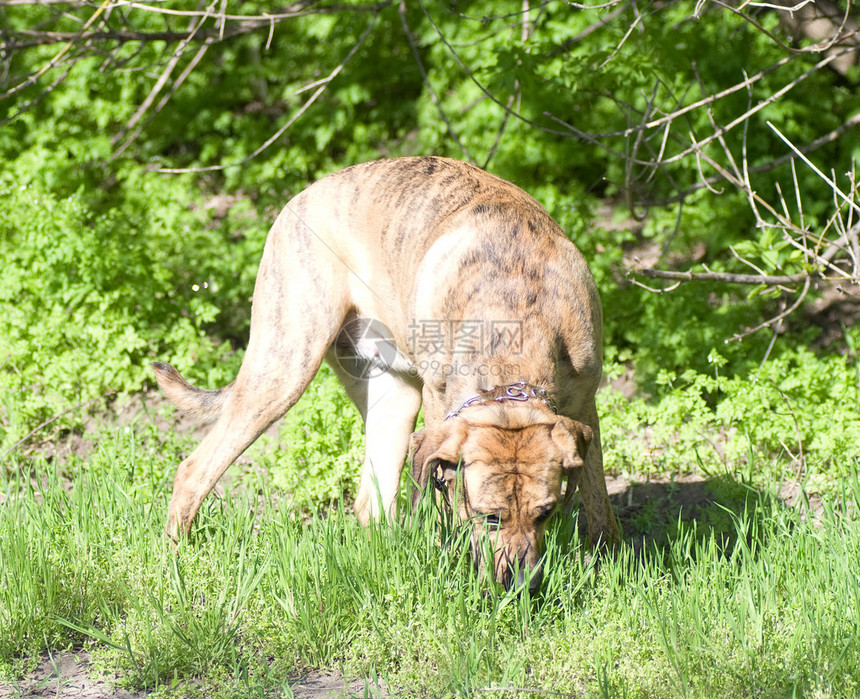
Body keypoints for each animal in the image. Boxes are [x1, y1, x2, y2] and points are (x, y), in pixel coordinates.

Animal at [153, 157, 620, 592]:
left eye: (546, 514)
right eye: (488, 516)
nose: (520, 586)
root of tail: (298, 198)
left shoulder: (585, 407)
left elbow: (598, 500)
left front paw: (607, 563)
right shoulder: (440, 410)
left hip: (392, 396)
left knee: (369, 504)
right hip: (284, 365)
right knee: (194, 470)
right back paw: (177, 563)